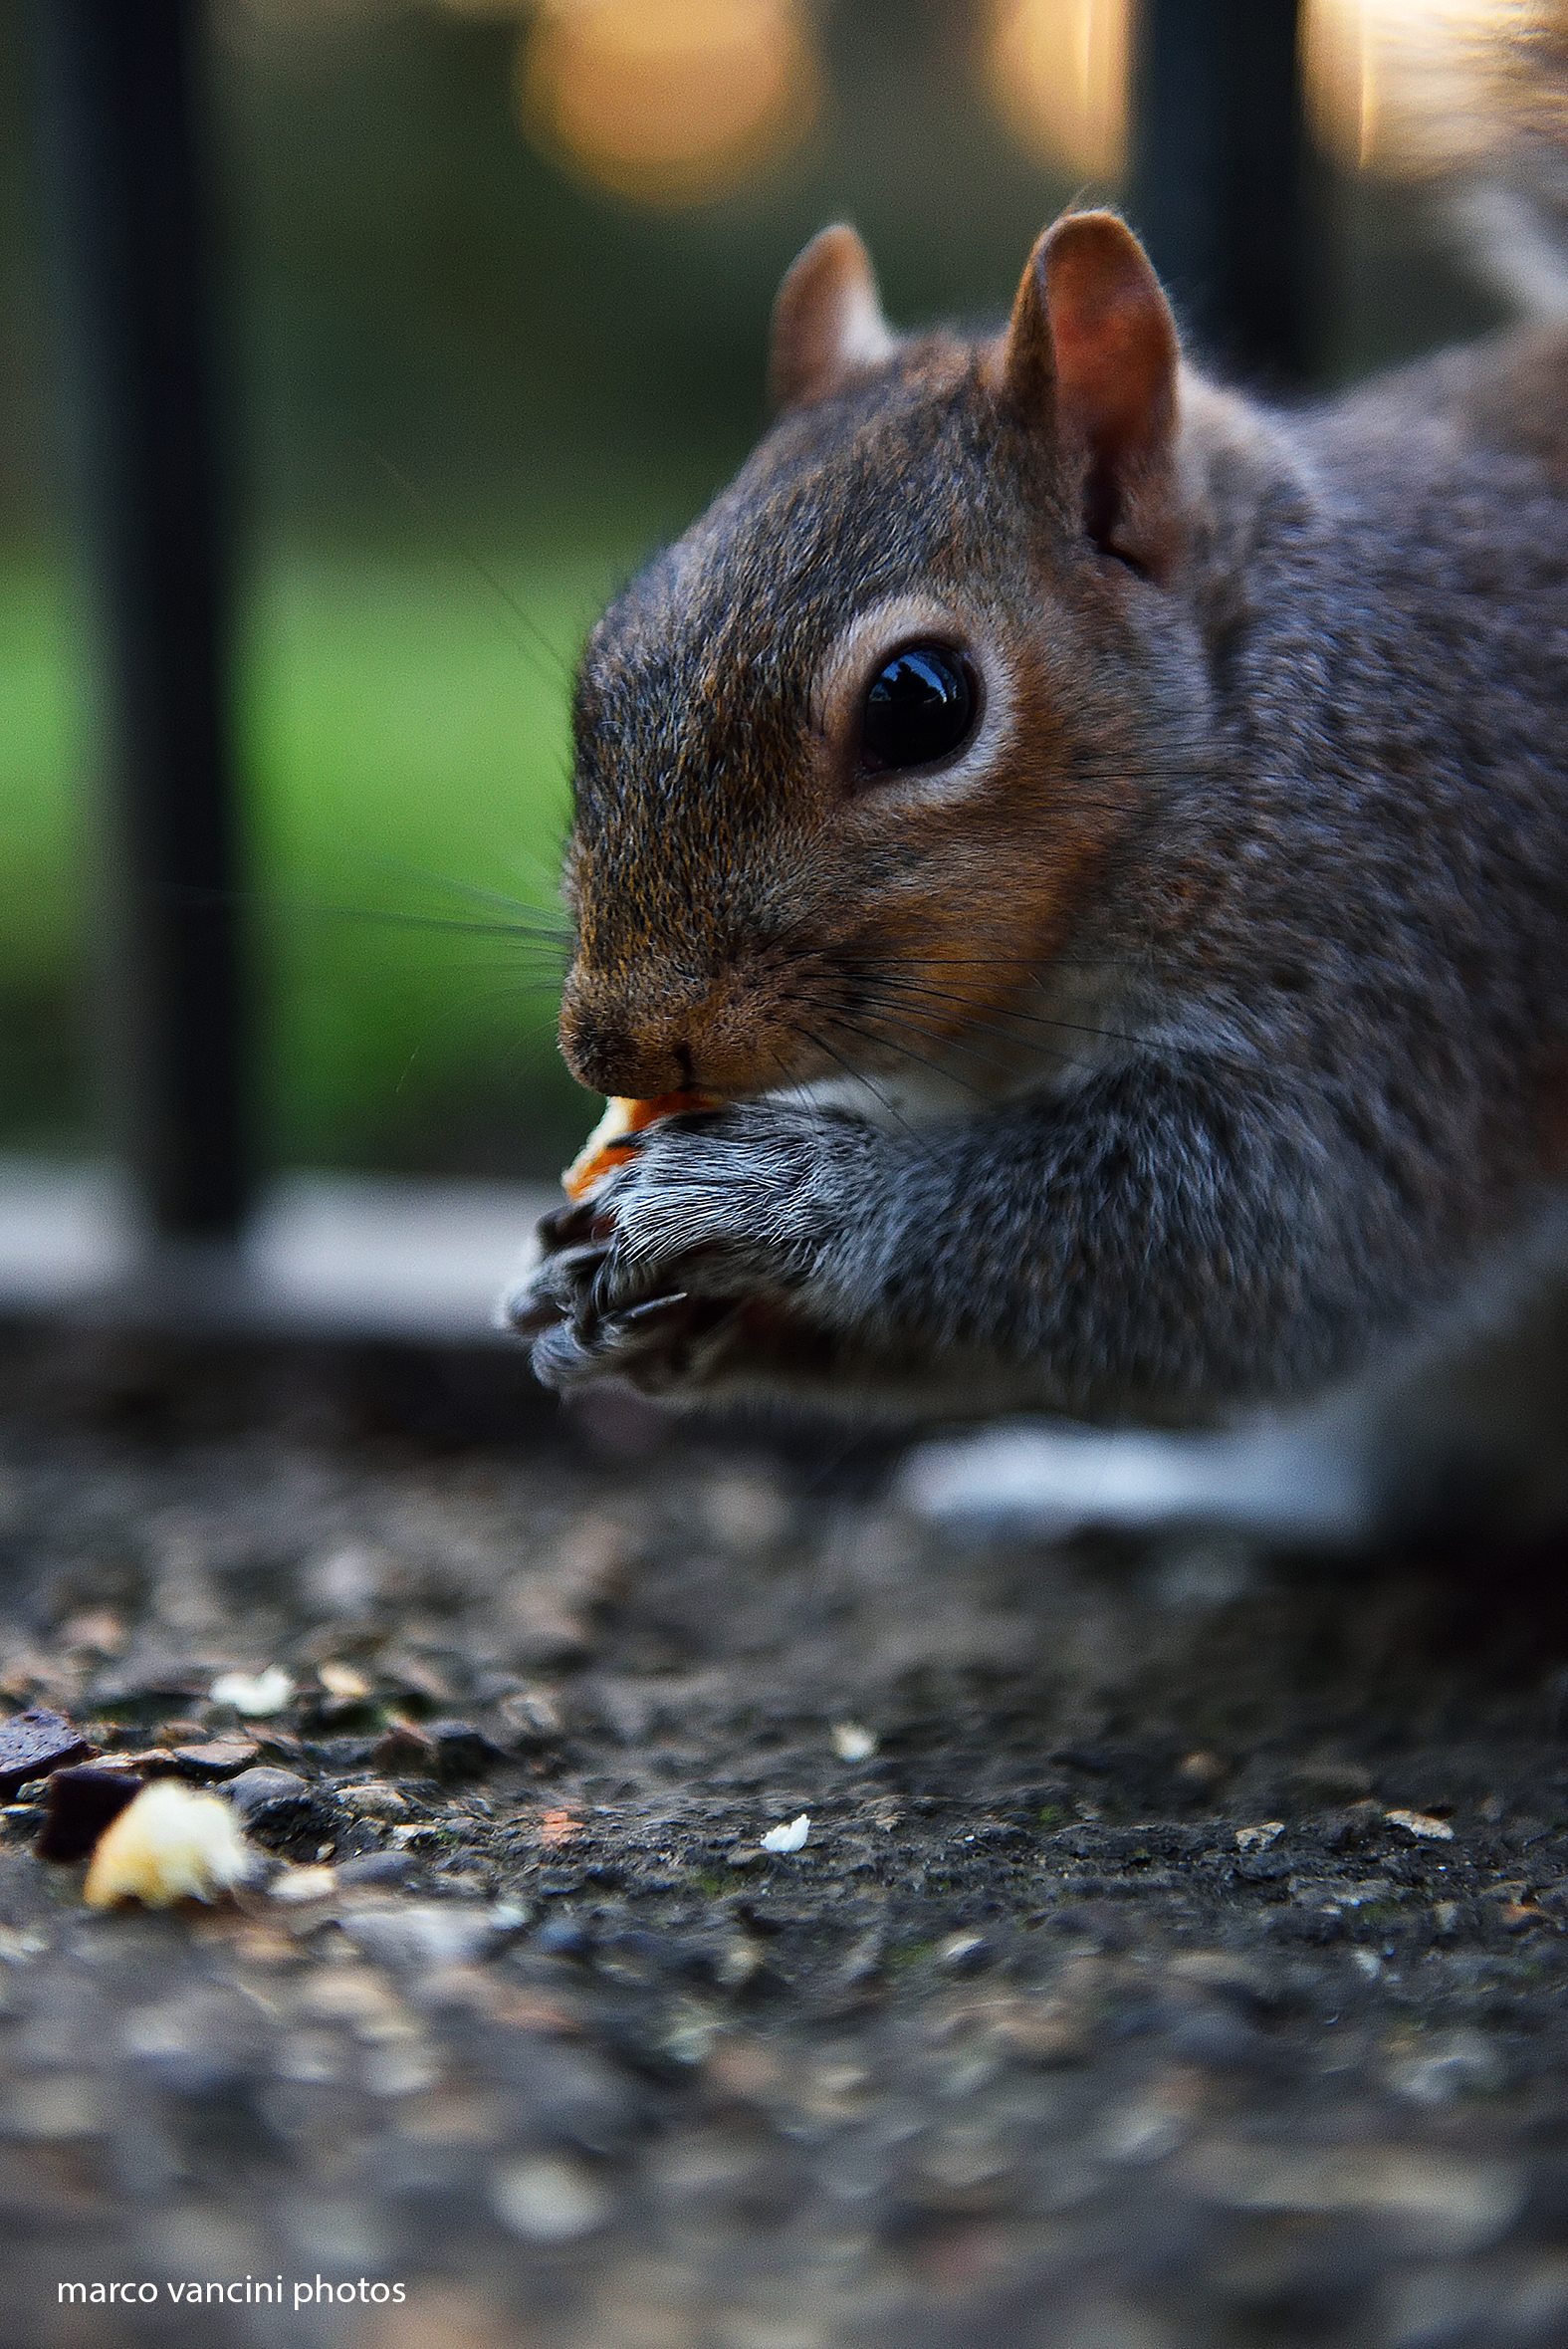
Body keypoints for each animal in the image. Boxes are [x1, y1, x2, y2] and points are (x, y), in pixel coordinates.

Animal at [503, 204, 1568, 1424]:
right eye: (604, 655)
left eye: (920, 702)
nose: (613, 1048)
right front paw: (609, 1299)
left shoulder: (1411, 942)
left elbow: (1270, 1243)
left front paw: (763, 1198)